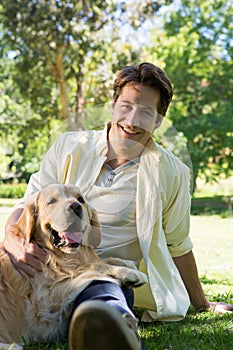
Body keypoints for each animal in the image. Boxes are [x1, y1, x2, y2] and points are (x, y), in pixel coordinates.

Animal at [0, 185, 146, 344]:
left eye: (80, 199)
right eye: (52, 201)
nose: (76, 206)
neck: (59, 256)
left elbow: (99, 261)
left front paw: (126, 264)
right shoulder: (45, 303)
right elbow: (91, 267)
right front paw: (129, 273)